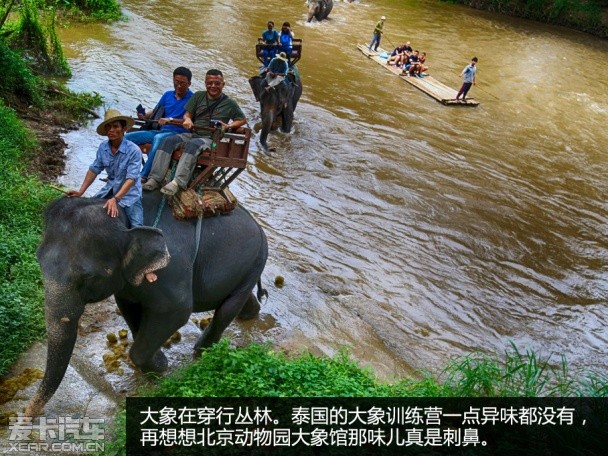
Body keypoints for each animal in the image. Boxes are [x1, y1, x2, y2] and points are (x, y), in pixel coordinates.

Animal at [25, 192, 268, 416]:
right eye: (39, 262)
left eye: (89, 278)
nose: (28, 414)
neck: (125, 220)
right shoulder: (129, 283)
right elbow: (129, 306)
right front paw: (157, 359)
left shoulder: (171, 271)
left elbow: (177, 311)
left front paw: (160, 366)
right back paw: (251, 314)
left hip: (256, 260)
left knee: (227, 308)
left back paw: (204, 350)